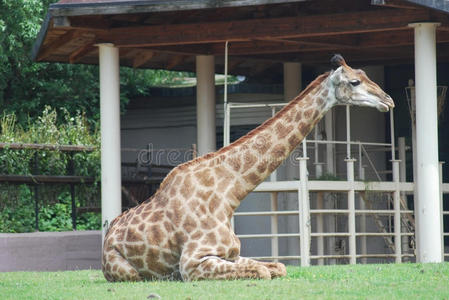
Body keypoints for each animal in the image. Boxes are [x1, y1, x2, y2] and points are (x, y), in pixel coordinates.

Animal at [100, 55, 392, 282]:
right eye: (354, 82)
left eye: (365, 74)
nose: (388, 100)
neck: (227, 194)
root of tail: (106, 238)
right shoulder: (193, 262)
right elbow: (262, 272)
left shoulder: (232, 254)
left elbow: (278, 266)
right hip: (126, 271)